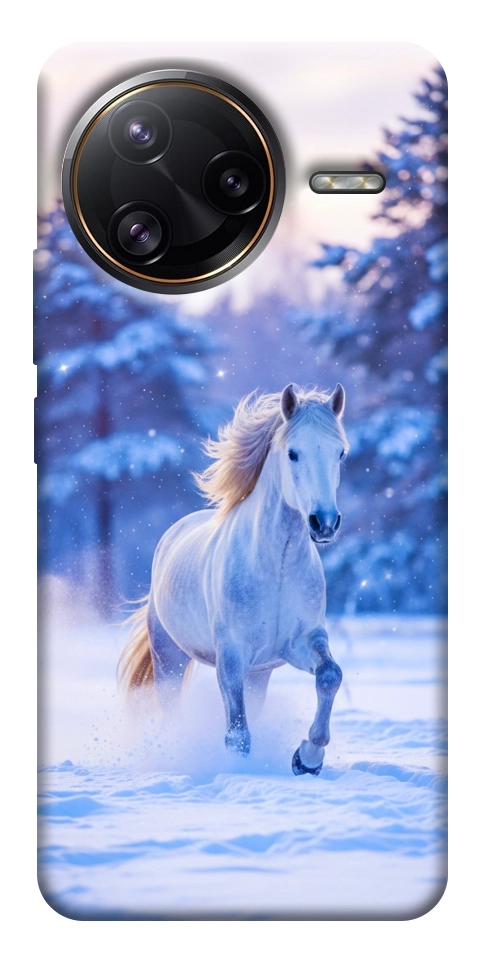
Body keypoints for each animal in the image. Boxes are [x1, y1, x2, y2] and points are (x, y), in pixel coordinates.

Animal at [119, 382, 348, 775]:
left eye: (340, 454)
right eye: (293, 453)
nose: (324, 523)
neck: (276, 567)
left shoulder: (301, 642)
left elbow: (330, 676)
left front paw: (307, 758)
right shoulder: (231, 656)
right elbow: (237, 734)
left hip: (259, 674)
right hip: (169, 658)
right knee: (171, 709)